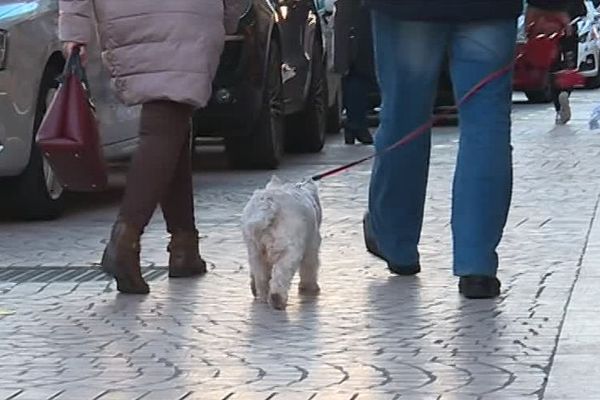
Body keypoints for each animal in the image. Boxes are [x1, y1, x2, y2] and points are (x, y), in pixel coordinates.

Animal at [240, 177, 322, 310]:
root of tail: (268, 205)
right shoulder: (311, 245)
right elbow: (309, 266)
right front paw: (309, 287)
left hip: (255, 248)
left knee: (262, 276)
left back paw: (263, 296)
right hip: (289, 250)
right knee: (281, 275)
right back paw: (277, 300)